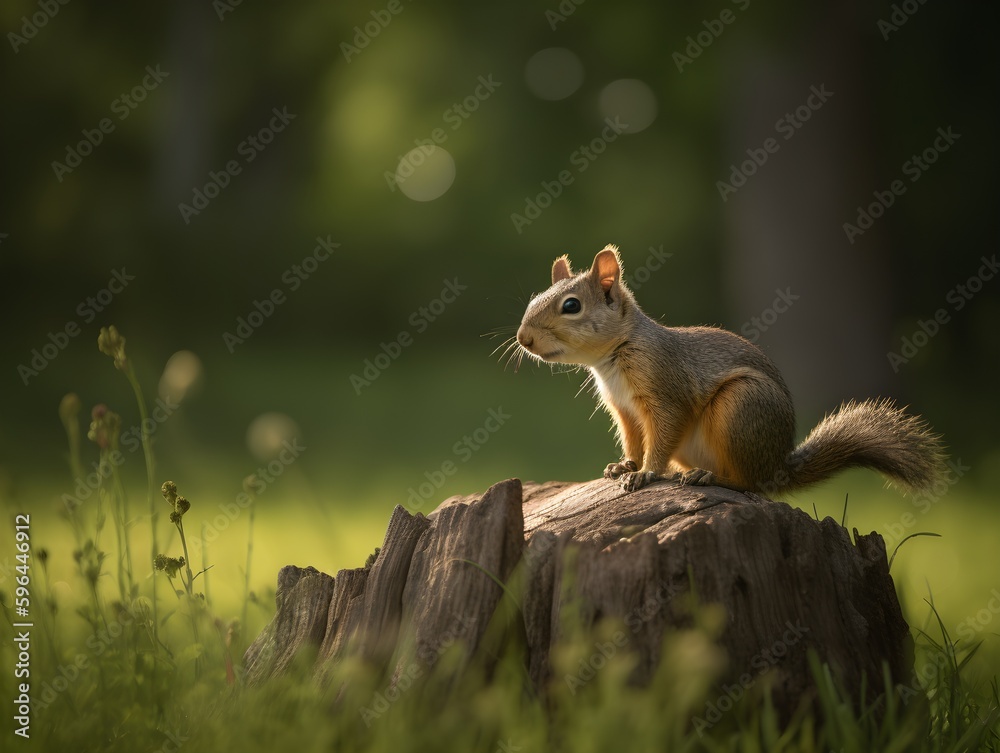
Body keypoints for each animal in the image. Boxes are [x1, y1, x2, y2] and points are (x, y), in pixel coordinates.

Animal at [515, 244, 946, 494]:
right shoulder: (626, 411)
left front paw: (647, 474)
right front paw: (625, 465)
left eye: (571, 306)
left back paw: (712, 477)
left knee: (749, 484)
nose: (523, 338)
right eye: (535, 297)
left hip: (741, 407)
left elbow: (663, 434)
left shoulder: (666, 392)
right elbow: (635, 441)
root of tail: (778, 468)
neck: (613, 356)